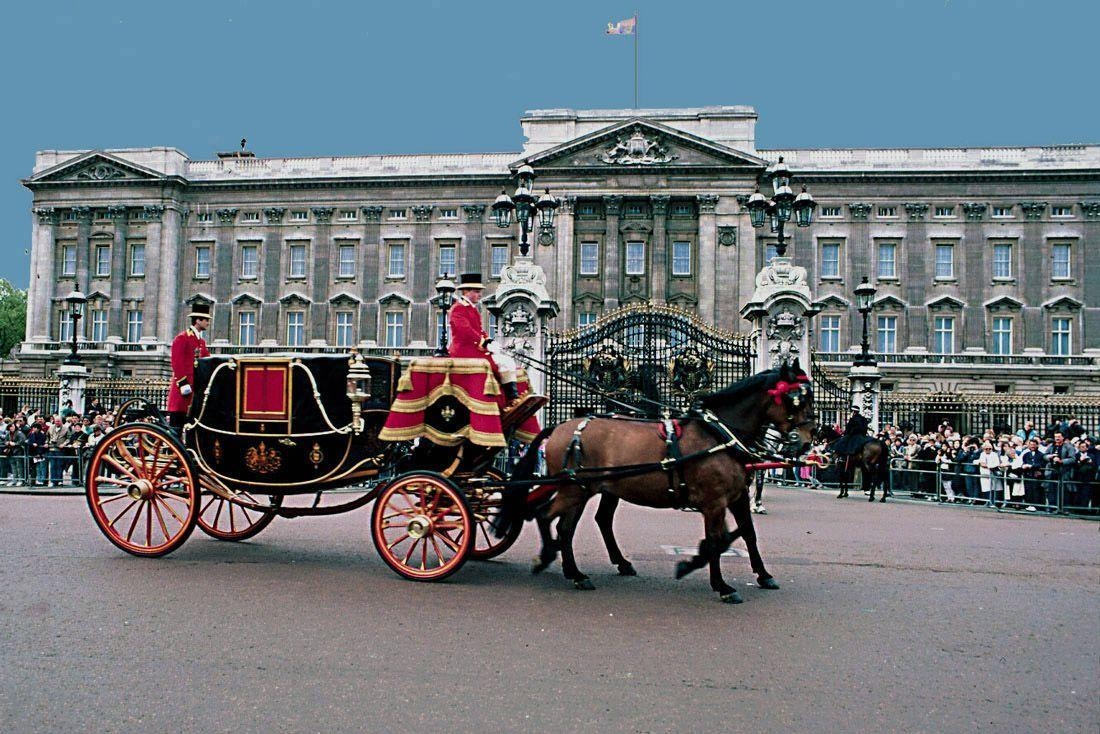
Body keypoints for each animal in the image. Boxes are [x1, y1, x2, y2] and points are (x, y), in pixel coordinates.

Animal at [506, 360, 818, 603]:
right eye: (797, 398)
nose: (805, 442)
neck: (719, 434)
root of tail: (560, 426)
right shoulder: (714, 502)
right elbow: (717, 540)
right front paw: (719, 585)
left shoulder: (737, 496)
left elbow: (747, 534)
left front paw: (763, 575)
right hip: (574, 489)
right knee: (547, 517)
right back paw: (549, 558)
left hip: (586, 489)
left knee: (572, 525)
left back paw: (582, 571)